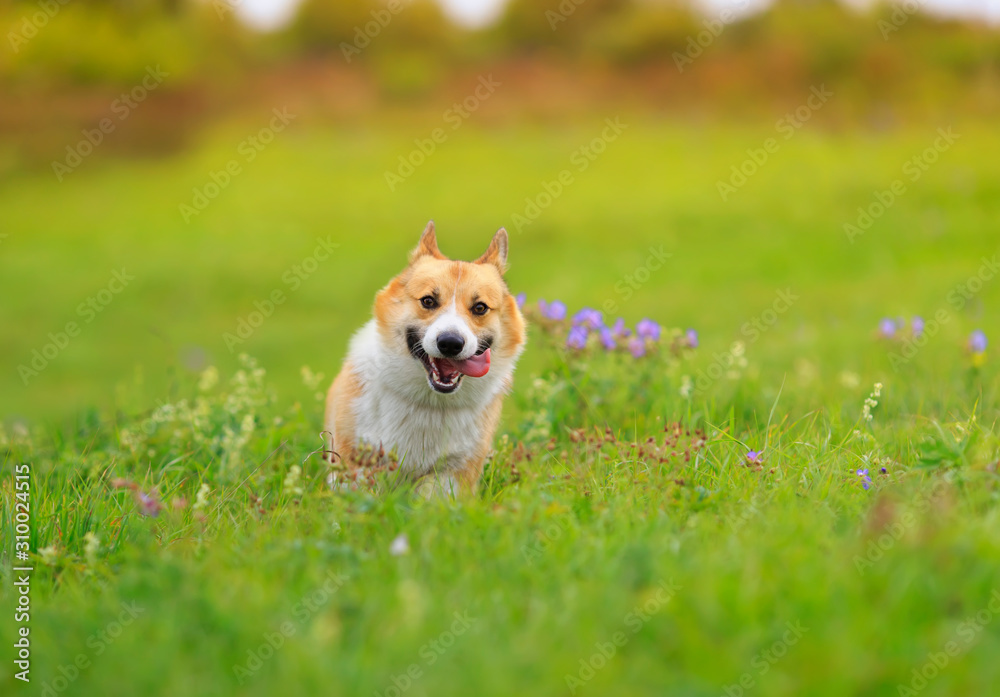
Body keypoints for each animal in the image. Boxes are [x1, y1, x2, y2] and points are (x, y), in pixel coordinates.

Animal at [324, 222, 528, 494]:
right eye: (428, 301)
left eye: (480, 308)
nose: (450, 343)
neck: (430, 401)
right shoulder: (355, 460)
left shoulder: (453, 473)